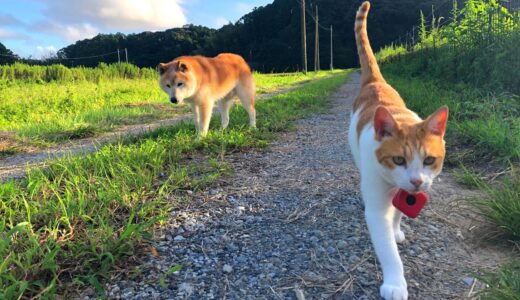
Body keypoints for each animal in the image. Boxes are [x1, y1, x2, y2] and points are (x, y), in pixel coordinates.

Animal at [348, 2, 448, 300]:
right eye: (398, 159)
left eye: (429, 160)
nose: (416, 181)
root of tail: (375, 82)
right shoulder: (377, 203)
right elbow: (388, 251)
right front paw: (395, 282)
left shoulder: (406, 193)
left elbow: (398, 214)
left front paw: (396, 230)